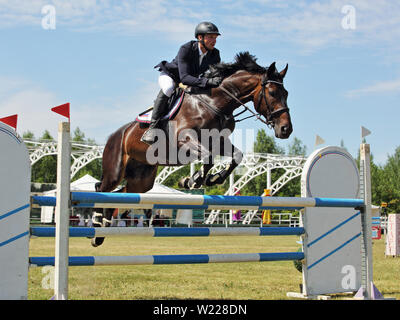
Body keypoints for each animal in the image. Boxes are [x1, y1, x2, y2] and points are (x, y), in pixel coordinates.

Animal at [92, 53, 294, 248]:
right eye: (272, 93)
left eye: (286, 93)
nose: (286, 129)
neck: (214, 102)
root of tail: (116, 135)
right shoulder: (186, 140)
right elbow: (209, 158)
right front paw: (193, 180)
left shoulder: (219, 141)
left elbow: (236, 156)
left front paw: (212, 178)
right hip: (115, 169)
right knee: (101, 189)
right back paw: (95, 224)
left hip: (142, 180)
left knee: (119, 195)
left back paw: (101, 233)